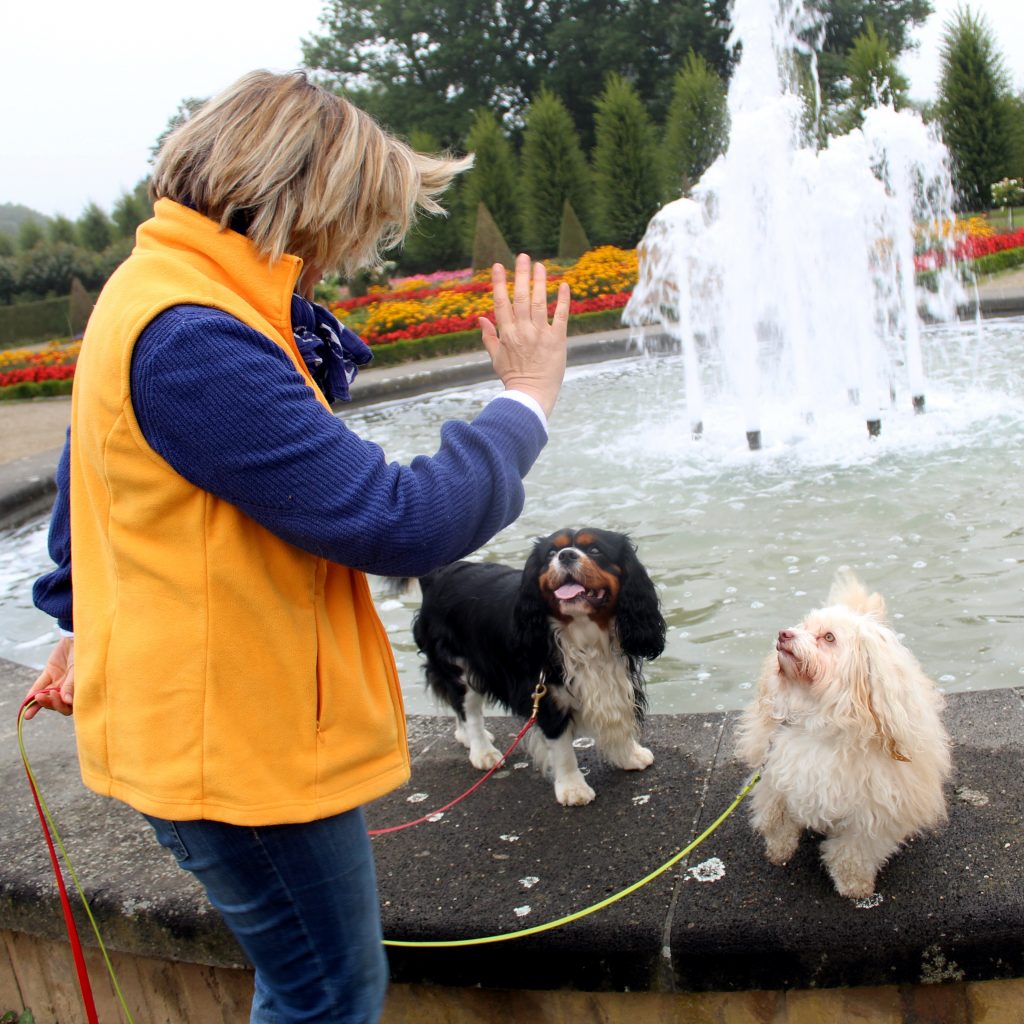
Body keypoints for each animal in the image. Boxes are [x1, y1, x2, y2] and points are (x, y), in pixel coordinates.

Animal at [411, 532, 667, 802]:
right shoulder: (543, 693)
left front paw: (629, 755)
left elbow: (618, 716)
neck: (583, 633)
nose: (566, 555)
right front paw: (573, 788)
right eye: (551, 554)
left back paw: (465, 737)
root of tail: (437, 575)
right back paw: (482, 751)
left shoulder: (615, 675)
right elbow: (562, 747)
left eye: (595, 550)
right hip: (459, 666)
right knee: (468, 710)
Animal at [737, 573, 950, 901]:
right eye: (804, 626)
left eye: (828, 638)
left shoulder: (873, 815)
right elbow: (777, 821)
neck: (819, 717)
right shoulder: (775, 778)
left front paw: (854, 887)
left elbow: (852, 853)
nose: (784, 633)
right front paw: (779, 852)